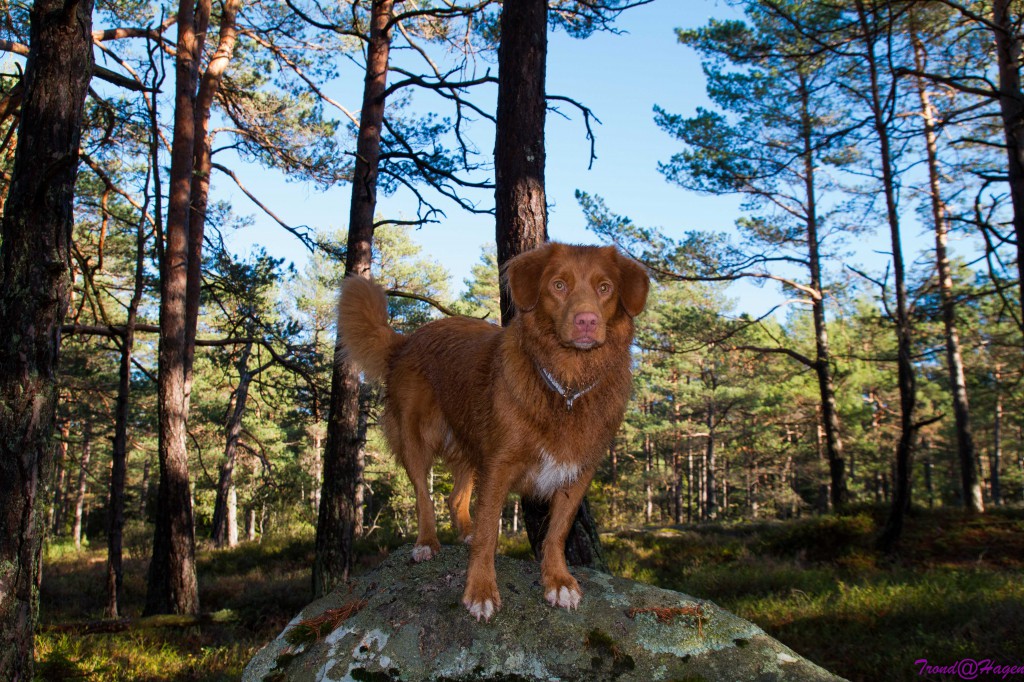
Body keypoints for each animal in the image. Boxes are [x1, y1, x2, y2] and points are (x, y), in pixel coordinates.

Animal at [339, 241, 651, 618]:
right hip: (415, 437)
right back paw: (427, 541)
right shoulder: (499, 464)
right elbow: (489, 530)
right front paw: (481, 589)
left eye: (605, 288)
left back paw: (465, 532)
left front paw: (557, 580)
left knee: (455, 497)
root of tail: (407, 340)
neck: (567, 384)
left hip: (471, 444)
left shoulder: (577, 471)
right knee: (423, 496)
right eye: (559, 285)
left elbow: (557, 532)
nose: (587, 321)